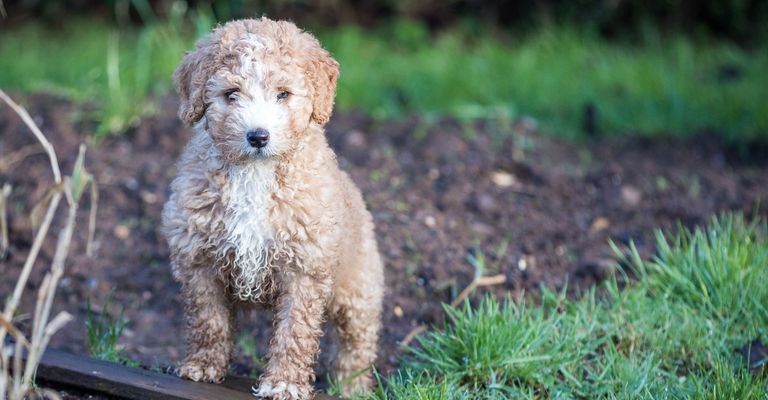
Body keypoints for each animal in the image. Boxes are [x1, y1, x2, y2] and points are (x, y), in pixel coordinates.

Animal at [163, 17, 388, 398]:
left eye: (283, 94)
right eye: (231, 94)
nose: (258, 135)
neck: (256, 173)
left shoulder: (305, 268)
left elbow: (293, 333)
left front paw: (283, 383)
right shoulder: (199, 261)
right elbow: (209, 320)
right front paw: (203, 366)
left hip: (358, 288)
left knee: (356, 344)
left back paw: (352, 388)